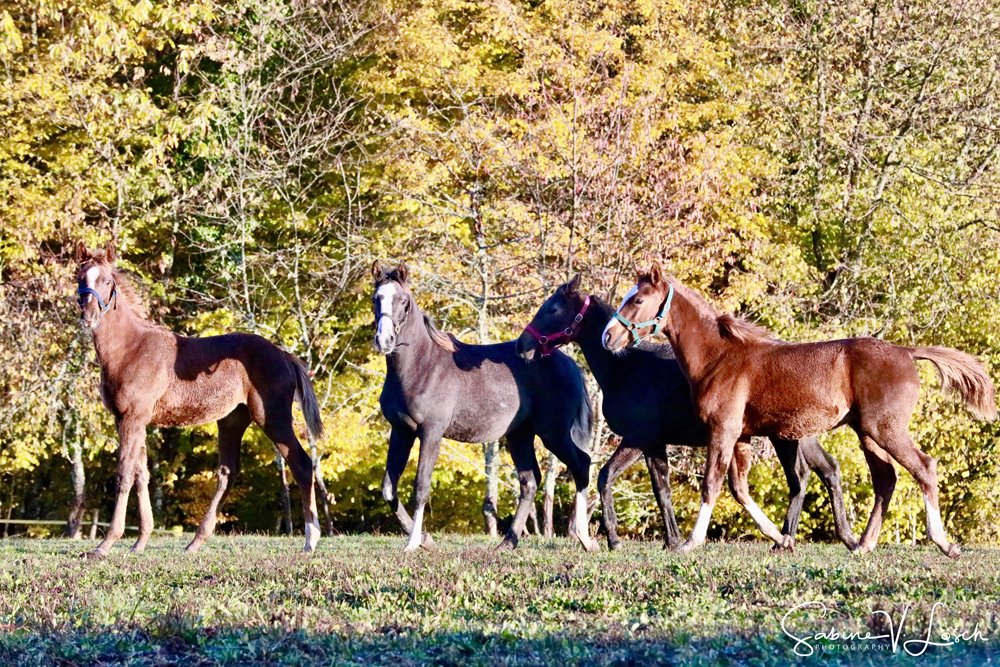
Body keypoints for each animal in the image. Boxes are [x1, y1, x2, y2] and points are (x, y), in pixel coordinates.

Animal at [74, 241, 323, 556]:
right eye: (80, 277)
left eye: (107, 281)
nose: (88, 316)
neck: (130, 348)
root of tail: (284, 355)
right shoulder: (132, 420)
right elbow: (142, 474)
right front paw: (140, 542)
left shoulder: (132, 418)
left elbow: (124, 474)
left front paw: (105, 545)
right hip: (232, 420)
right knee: (228, 471)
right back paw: (196, 541)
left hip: (273, 417)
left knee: (301, 463)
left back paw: (310, 540)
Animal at [371, 261, 596, 552]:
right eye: (376, 298)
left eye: (403, 301)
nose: (384, 340)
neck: (420, 366)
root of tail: (570, 363)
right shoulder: (401, 431)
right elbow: (389, 488)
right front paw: (425, 539)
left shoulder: (431, 432)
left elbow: (421, 487)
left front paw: (413, 544)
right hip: (520, 435)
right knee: (530, 483)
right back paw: (507, 544)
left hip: (553, 434)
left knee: (581, 465)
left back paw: (585, 538)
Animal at [515, 276, 857, 551]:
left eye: (552, 309)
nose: (522, 345)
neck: (626, 368)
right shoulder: (653, 444)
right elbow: (662, 489)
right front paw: (672, 539)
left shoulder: (637, 438)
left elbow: (604, 476)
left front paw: (613, 538)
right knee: (827, 469)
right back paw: (839, 538)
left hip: (786, 437)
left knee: (804, 476)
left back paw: (791, 538)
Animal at [604, 262, 997, 558]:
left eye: (638, 299)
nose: (608, 337)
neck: (720, 357)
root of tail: (906, 352)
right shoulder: (742, 437)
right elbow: (738, 488)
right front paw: (781, 538)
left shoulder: (723, 430)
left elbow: (712, 483)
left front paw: (690, 542)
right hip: (868, 434)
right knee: (885, 479)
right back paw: (863, 545)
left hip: (886, 429)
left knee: (924, 467)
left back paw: (943, 543)